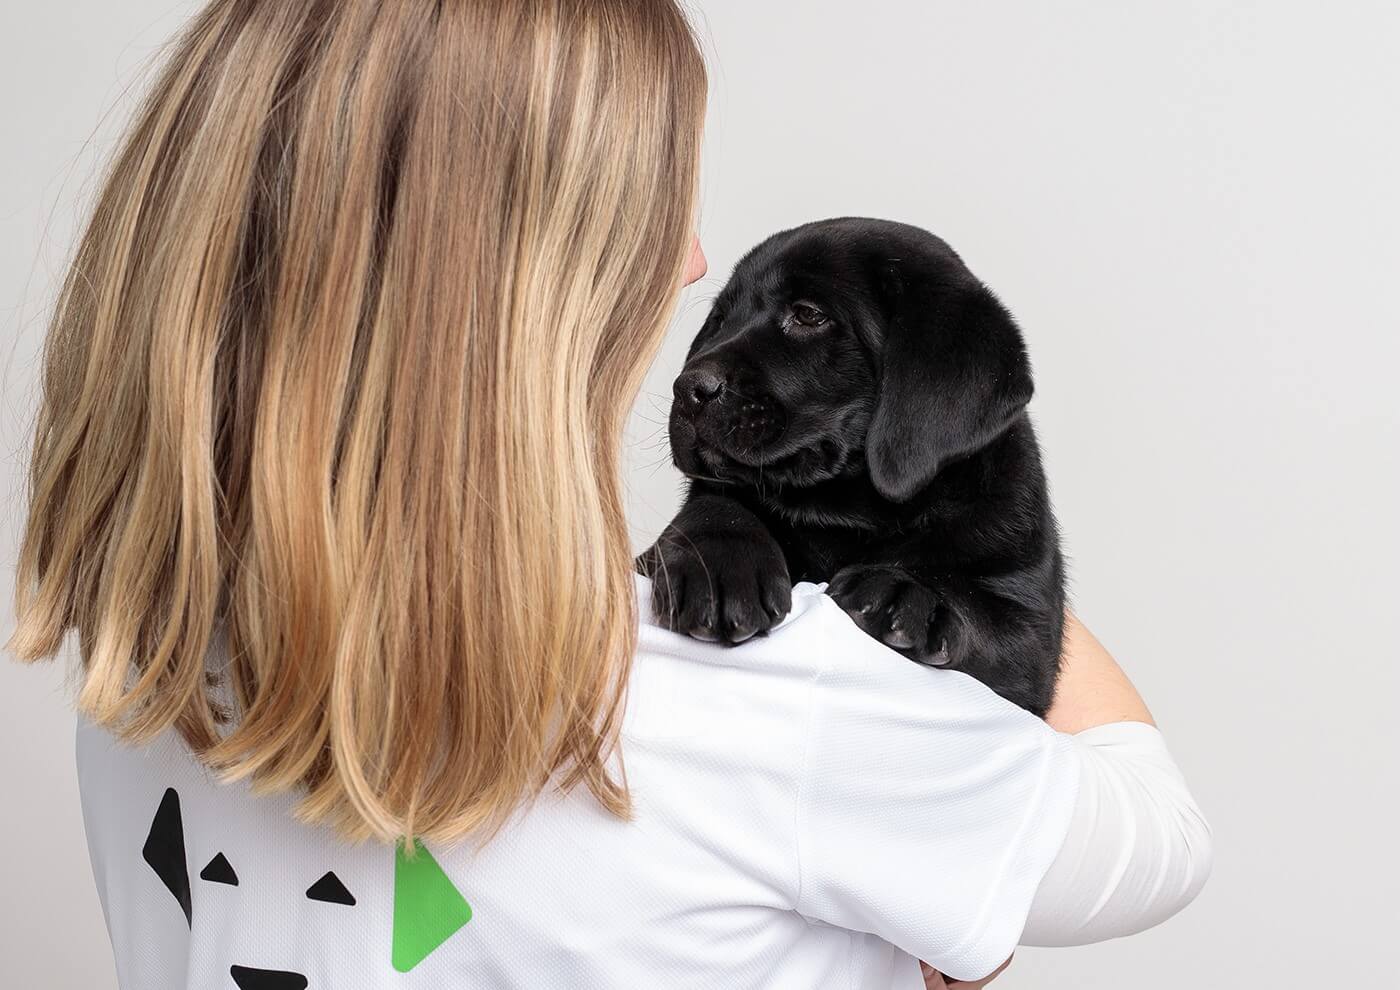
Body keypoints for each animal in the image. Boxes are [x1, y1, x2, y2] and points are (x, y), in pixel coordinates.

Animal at [641, 217, 1058, 716]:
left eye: (808, 315)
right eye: (720, 320)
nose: (689, 390)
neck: (846, 511)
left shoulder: (1031, 635)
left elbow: (986, 614)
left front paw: (910, 591)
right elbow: (717, 505)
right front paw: (719, 562)